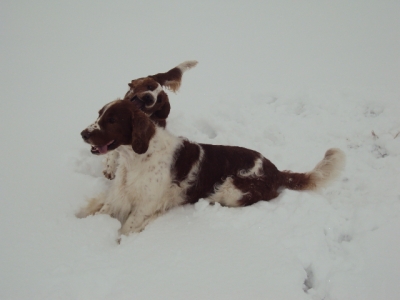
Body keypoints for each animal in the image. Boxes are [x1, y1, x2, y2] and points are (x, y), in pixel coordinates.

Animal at [76, 98, 346, 234]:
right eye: (99, 114)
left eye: (112, 120)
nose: (83, 134)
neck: (137, 159)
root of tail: (276, 171)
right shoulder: (117, 197)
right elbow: (99, 210)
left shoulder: (144, 206)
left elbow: (125, 230)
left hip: (230, 190)